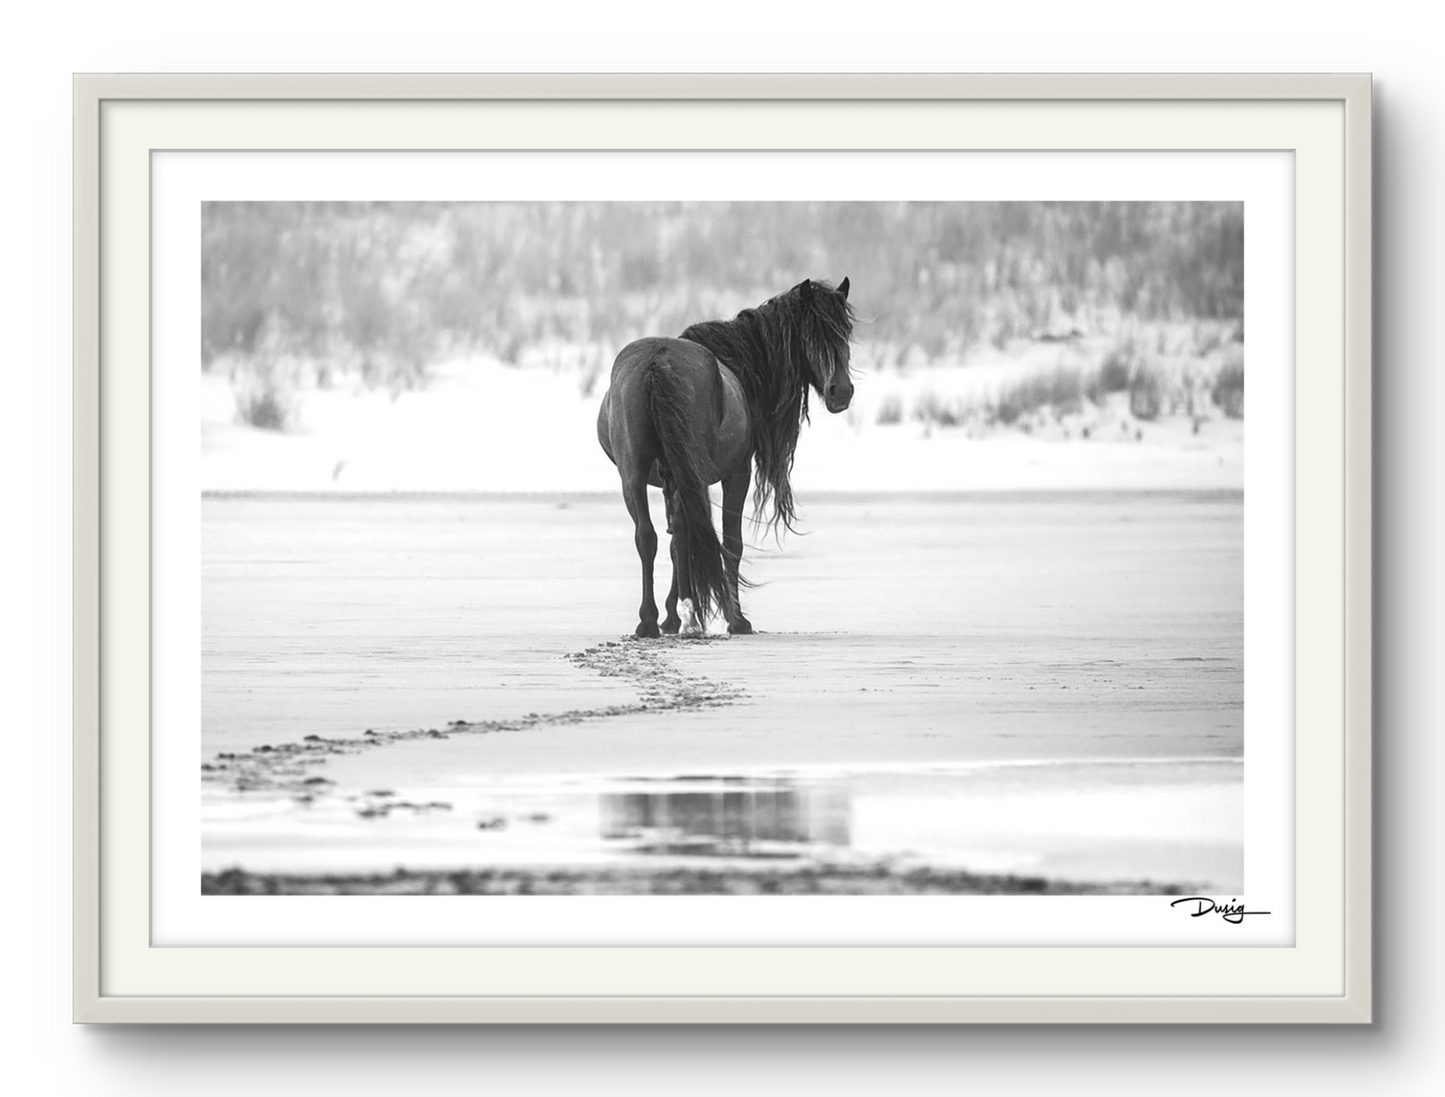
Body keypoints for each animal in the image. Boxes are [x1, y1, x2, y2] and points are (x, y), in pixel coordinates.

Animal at [598, 274, 855, 638]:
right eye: (810, 332)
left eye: (845, 330)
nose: (841, 391)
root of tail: (657, 364)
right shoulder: (736, 474)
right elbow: (730, 543)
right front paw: (735, 619)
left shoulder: (672, 481)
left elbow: (678, 541)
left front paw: (673, 616)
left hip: (634, 475)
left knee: (647, 537)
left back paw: (649, 620)